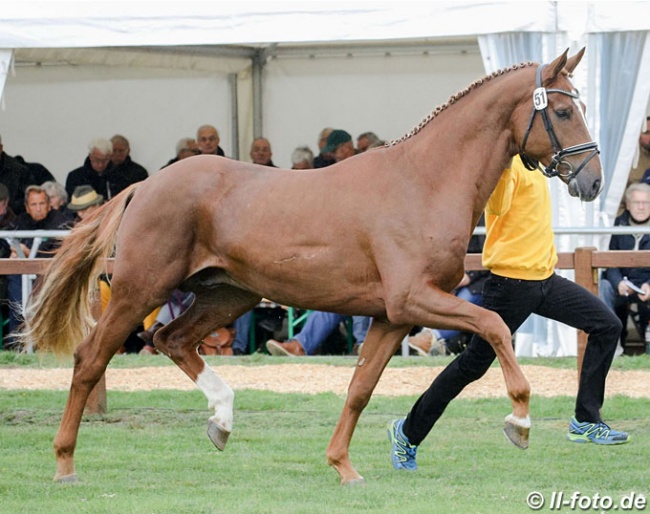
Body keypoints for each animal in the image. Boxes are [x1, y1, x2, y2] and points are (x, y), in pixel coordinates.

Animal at [24, 46, 604, 482]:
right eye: (562, 111)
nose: (593, 180)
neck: (423, 181)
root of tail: (143, 186)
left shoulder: (391, 316)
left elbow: (360, 389)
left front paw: (343, 467)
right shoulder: (414, 300)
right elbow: (495, 327)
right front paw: (519, 421)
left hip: (227, 294)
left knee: (172, 339)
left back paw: (222, 421)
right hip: (139, 289)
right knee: (91, 359)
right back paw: (65, 464)